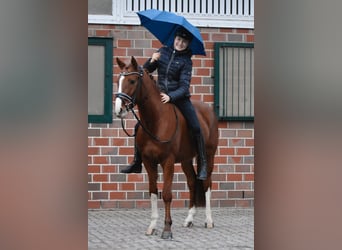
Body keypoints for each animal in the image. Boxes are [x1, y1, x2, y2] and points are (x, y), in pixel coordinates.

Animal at [113, 55, 218, 239]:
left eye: (132, 81)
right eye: (118, 80)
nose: (119, 109)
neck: (156, 120)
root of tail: (209, 112)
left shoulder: (167, 162)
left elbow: (167, 194)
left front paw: (167, 229)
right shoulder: (148, 162)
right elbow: (153, 192)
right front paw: (152, 226)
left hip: (209, 156)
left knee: (206, 184)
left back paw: (209, 220)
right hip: (185, 160)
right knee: (192, 182)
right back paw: (189, 219)